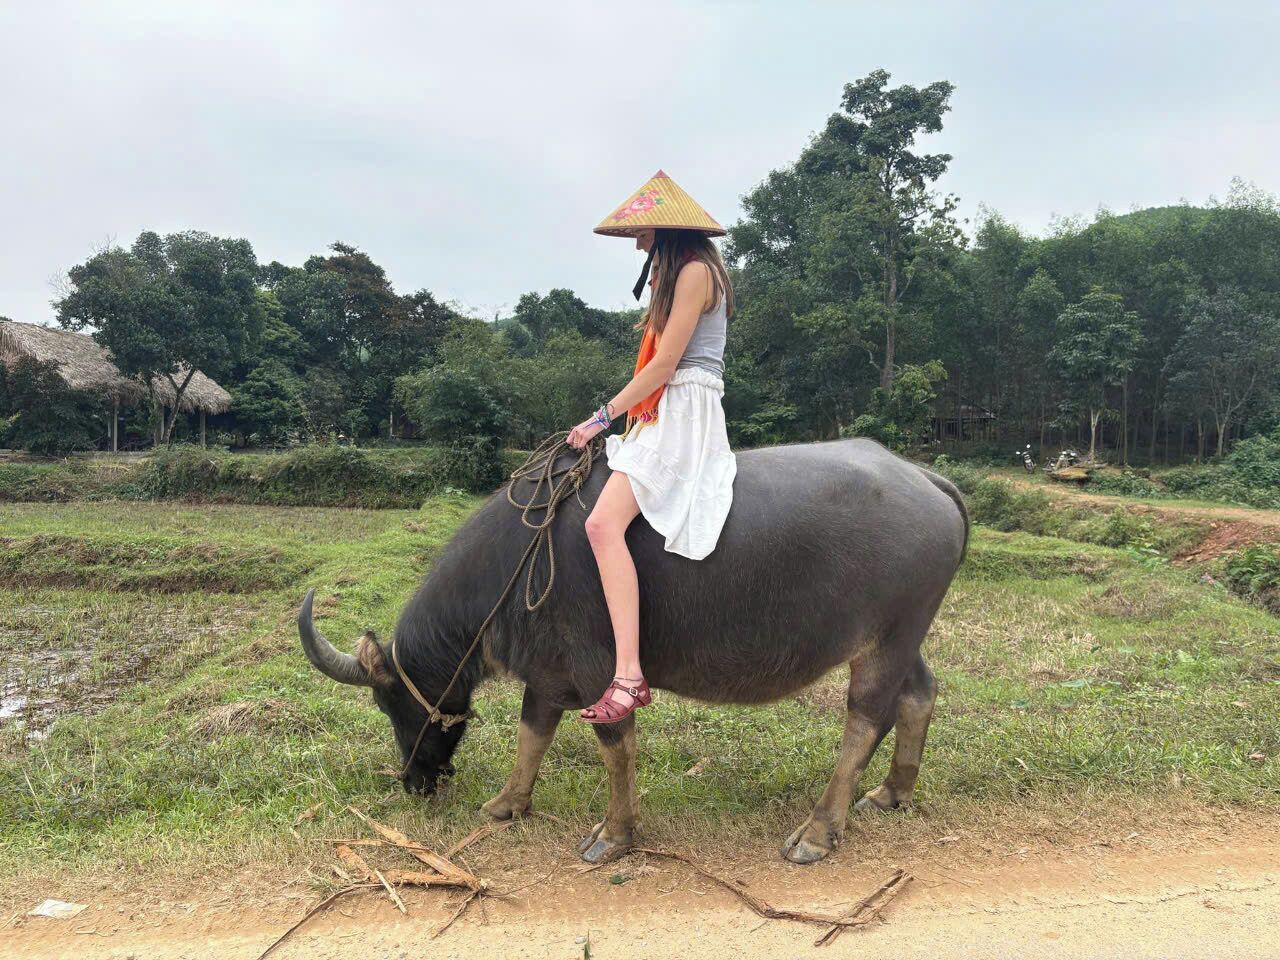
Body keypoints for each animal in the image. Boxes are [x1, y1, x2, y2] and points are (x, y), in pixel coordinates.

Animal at [298, 437, 968, 865]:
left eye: (391, 707)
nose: (414, 781)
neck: (517, 564)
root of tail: (925, 479)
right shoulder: (547, 671)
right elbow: (532, 733)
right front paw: (507, 804)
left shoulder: (598, 670)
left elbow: (615, 747)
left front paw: (615, 835)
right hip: (903, 635)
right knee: (919, 695)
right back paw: (893, 792)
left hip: (885, 640)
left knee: (866, 717)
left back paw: (819, 830)